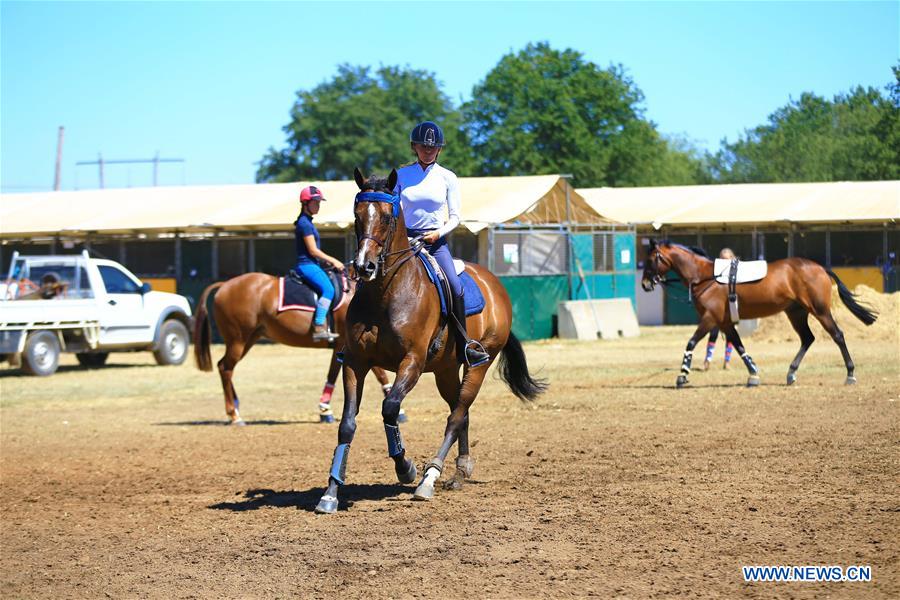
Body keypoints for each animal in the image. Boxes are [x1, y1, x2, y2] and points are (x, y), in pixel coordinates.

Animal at [193, 270, 390, 424]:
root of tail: (225, 284)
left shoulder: (346, 348)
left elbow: (334, 374)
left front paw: (325, 410)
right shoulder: (352, 346)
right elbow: (377, 373)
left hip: (248, 339)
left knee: (225, 367)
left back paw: (235, 406)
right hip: (238, 341)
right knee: (225, 368)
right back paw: (234, 415)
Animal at [312, 169, 544, 516]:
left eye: (387, 216)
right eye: (356, 215)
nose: (365, 266)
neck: (384, 293)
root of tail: (494, 284)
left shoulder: (411, 361)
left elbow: (390, 408)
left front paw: (405, 468)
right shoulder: (355, 363)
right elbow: (347, 424)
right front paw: (330, 493)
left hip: (480, 362)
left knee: (456, 414)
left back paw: (429, 478)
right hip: (446, 371)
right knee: (461, 411)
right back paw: (460, 472)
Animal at [644, 239, 876, 390]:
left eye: (650, 259)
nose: (645, 284)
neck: (707, 277)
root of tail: (819, 267)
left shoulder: (710, 319)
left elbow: (691, 342)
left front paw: (682, 375)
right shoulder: (725, 322)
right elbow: (739, 347)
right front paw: (753, 374)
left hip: (820, 311)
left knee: (837, 335)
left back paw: (850, 374)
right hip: (796, 313)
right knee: (807, 338)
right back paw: (791, 373)